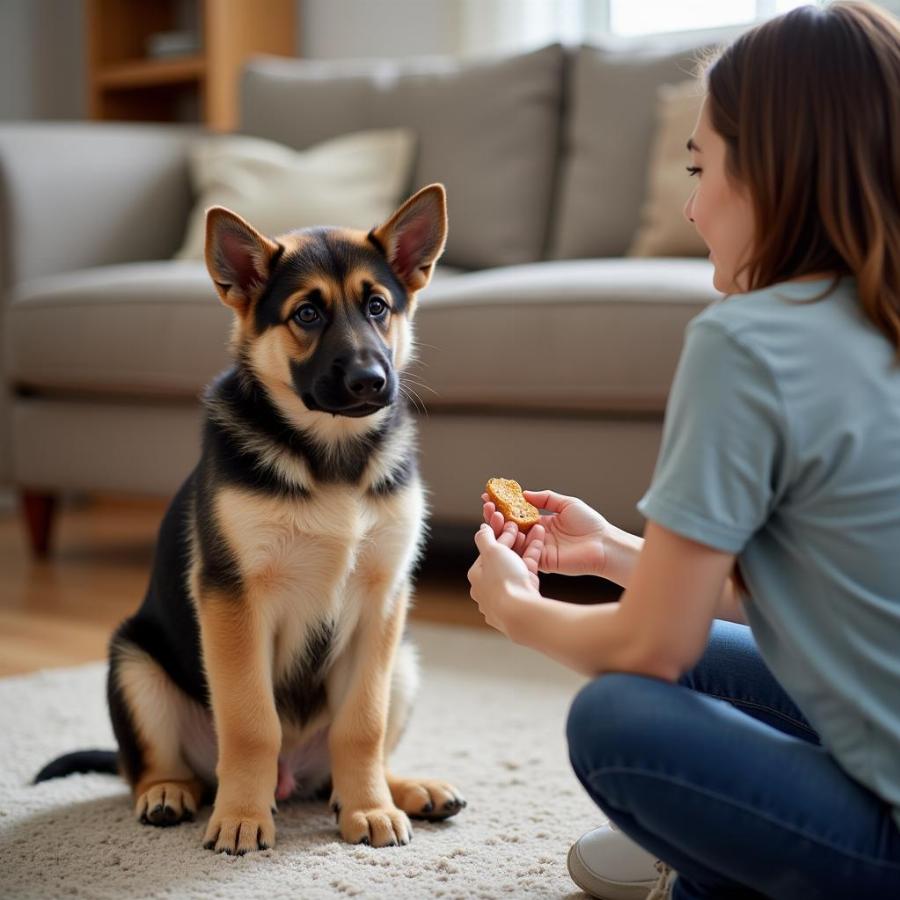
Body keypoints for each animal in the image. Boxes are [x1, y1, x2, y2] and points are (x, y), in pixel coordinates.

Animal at [37, 183, 464, 852]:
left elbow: (361, 726)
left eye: (377, 307)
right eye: (307, 315)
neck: (330, 455)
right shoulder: (234, 599)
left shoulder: (381, 600)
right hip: (132, 664)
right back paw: (171, 792)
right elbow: (250, 722)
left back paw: (404, 788)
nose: (371, 381)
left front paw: (370, 808)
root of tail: (297, 780)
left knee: (347, 759)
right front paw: (241, 817)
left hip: (404, 661)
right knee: (149, 765)